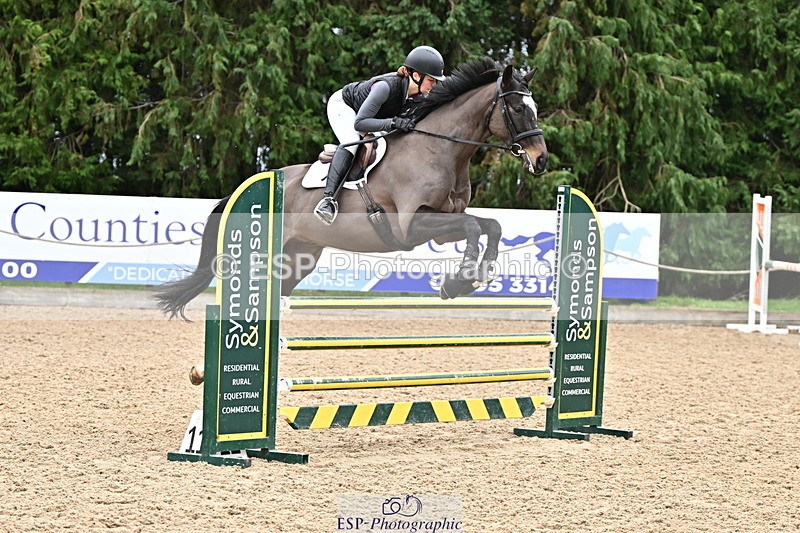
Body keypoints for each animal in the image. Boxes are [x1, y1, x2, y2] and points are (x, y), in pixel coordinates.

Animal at [154, 57, 548, 319]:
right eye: (517, 107)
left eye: (534, 106)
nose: (541, 159)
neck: (440, 149)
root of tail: (241, 191)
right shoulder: (412, 225)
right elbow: (472, 227)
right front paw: (459, 282)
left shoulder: (444, 219)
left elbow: (489, 225)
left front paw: (478, 275)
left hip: (299, 257)